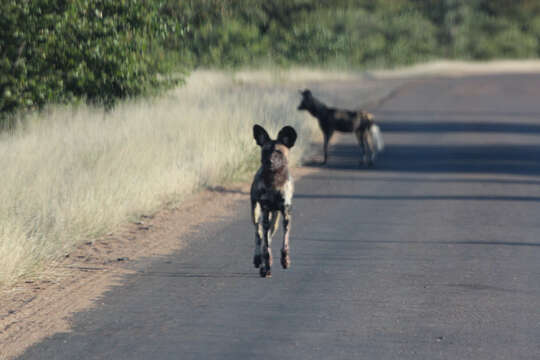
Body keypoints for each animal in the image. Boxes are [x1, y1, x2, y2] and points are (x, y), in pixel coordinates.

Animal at [251, 124, 298, 278]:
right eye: (265, 151)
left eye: (278, 152)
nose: (269, 162)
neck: (274, 183)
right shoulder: (265, 211)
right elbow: (266, 246)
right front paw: (266, 265)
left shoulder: (286, 214)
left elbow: (284, 243)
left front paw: (285, 260)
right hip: (256, 214)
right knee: (259, 235)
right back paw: (259, 260)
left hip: (275, 220)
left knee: (268, 236)